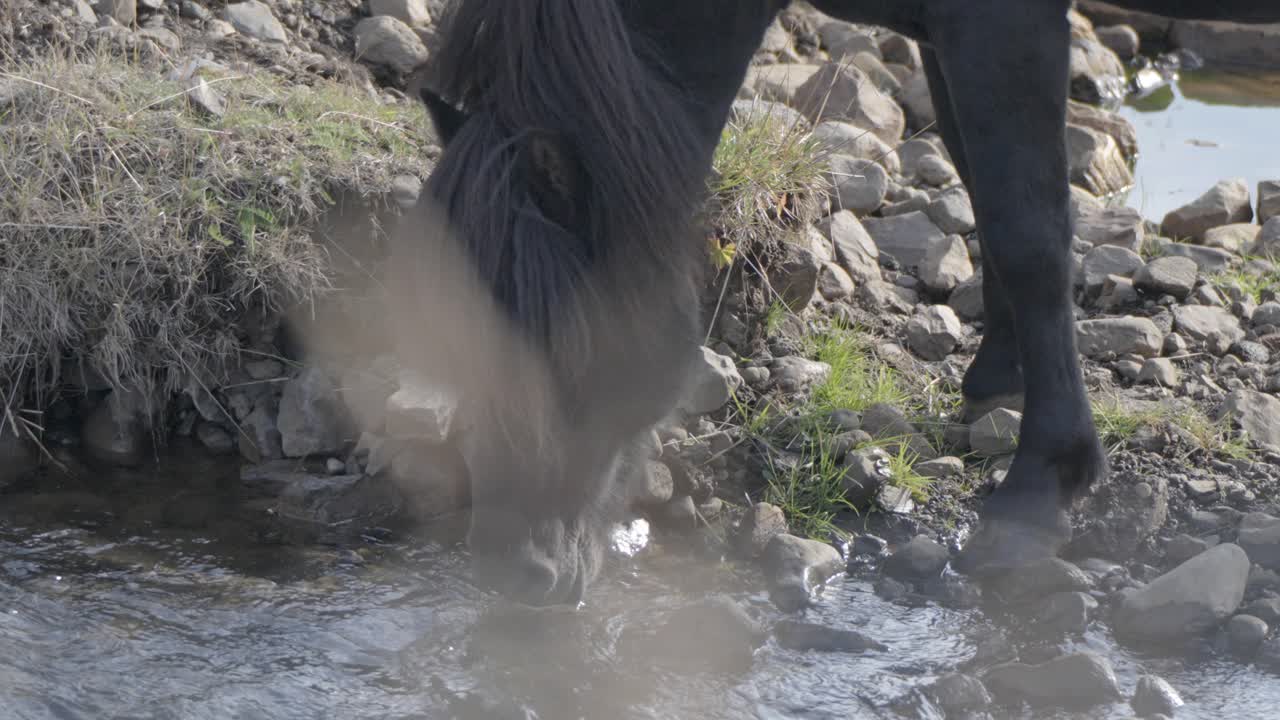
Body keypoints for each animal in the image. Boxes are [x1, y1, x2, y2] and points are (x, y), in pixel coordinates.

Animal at [391, 0, 1280, 607]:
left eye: (567, 345)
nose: (513, 575)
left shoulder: (1002, 22)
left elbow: (1029, 230)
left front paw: (1043, 481)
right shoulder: (945, 31)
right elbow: (983, 187)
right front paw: (1000, 375)